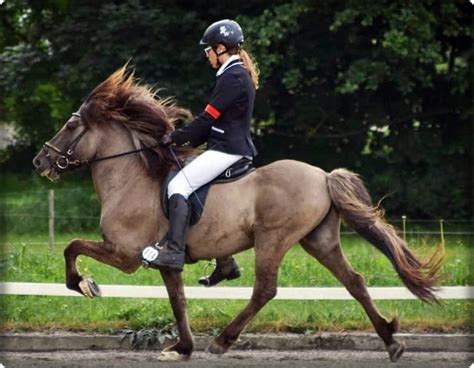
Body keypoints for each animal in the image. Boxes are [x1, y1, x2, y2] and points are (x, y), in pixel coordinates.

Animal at [32, 67, 444, 364]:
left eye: (71, 125)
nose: (40, 161)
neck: (131, 177)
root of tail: (324, 177)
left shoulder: (126, 254)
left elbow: (72, 247)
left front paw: (84, 284)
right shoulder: (166, 262)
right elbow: (178, 301)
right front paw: (182, 347)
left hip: (273, 239)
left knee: (265, 290)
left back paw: (223, 340)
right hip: (319, 241)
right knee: (354, 282)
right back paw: (391, 342)